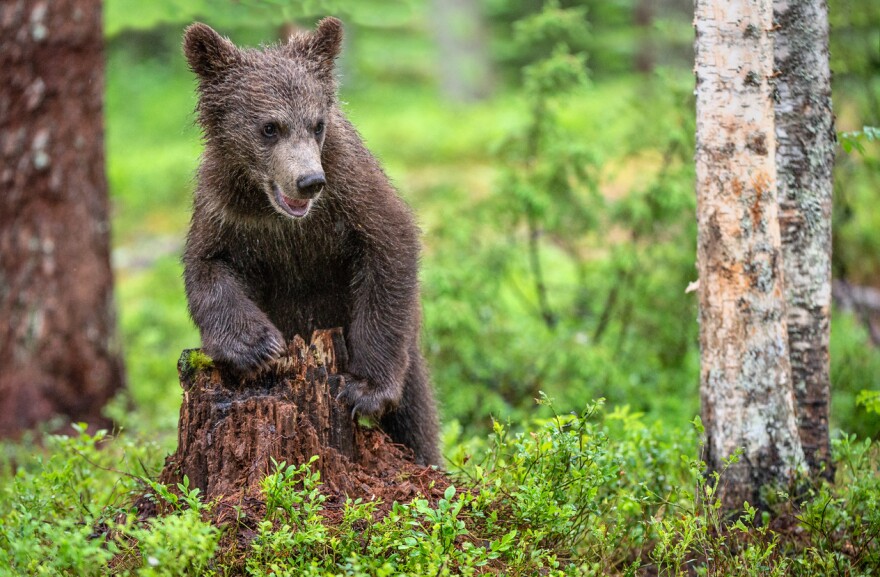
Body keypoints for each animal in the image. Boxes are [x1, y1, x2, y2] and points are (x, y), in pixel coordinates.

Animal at [181, 18, 440, 466]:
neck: (278, 216)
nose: (309, 181)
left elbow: (389, 247)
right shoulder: (225, 210)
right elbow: (208, 266)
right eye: (270, 127)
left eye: (317, 124)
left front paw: (366, 389)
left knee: (416, 419)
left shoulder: (351, 193)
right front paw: (257, 347)